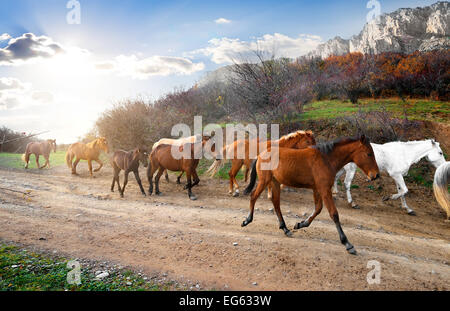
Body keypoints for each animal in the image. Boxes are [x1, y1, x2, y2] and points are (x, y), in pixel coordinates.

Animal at [243, 136, 380, 256]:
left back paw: (285, 228)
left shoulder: (317, 189)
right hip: (265, 180)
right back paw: (247, 220)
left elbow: (318, 209)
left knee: (276, 202)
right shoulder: (324, 190)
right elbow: (334, 214)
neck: (326, 159)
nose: (376, 175)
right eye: (369, 154)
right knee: (254, 196)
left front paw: (300, 224)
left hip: (275, 182)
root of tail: (260, 155)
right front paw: (347, 244)